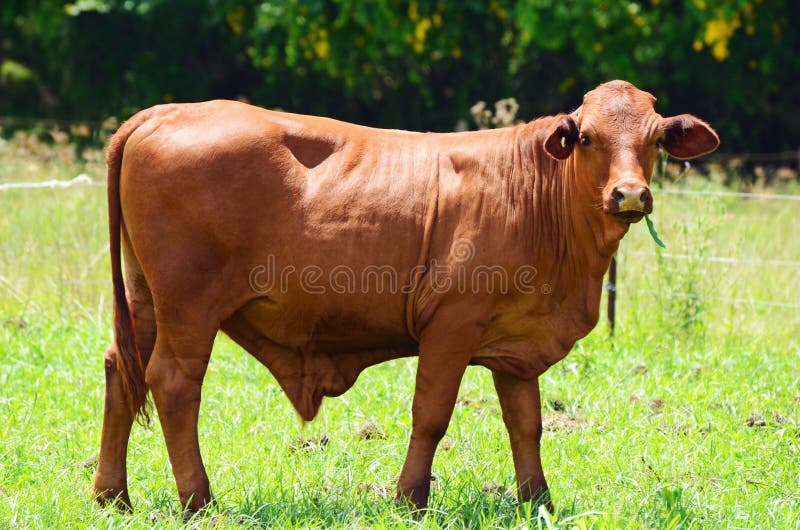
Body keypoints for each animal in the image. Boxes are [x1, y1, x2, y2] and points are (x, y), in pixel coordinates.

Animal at [92, 80, 720, 510]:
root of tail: (167, 110)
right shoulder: (452, 325)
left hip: (146, 300)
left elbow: (526, 423)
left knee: (121, 372)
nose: (629, 194)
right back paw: (200, 501)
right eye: (587, 137)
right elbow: (431, 414)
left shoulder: (516, 346)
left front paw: (536, 500)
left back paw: (112, 496)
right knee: (173, 383)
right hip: (189, 309)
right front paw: (410, 497)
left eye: (655, 140)